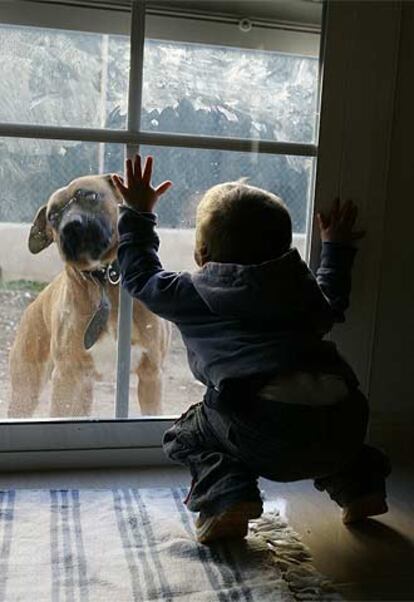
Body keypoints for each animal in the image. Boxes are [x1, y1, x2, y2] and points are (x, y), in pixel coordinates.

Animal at [8, 173, 170, 418]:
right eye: (53, 216)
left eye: (91, 196)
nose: (70, 226)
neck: (104, 278)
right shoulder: (66, 377)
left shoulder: (151, 375)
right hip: (27, 389)